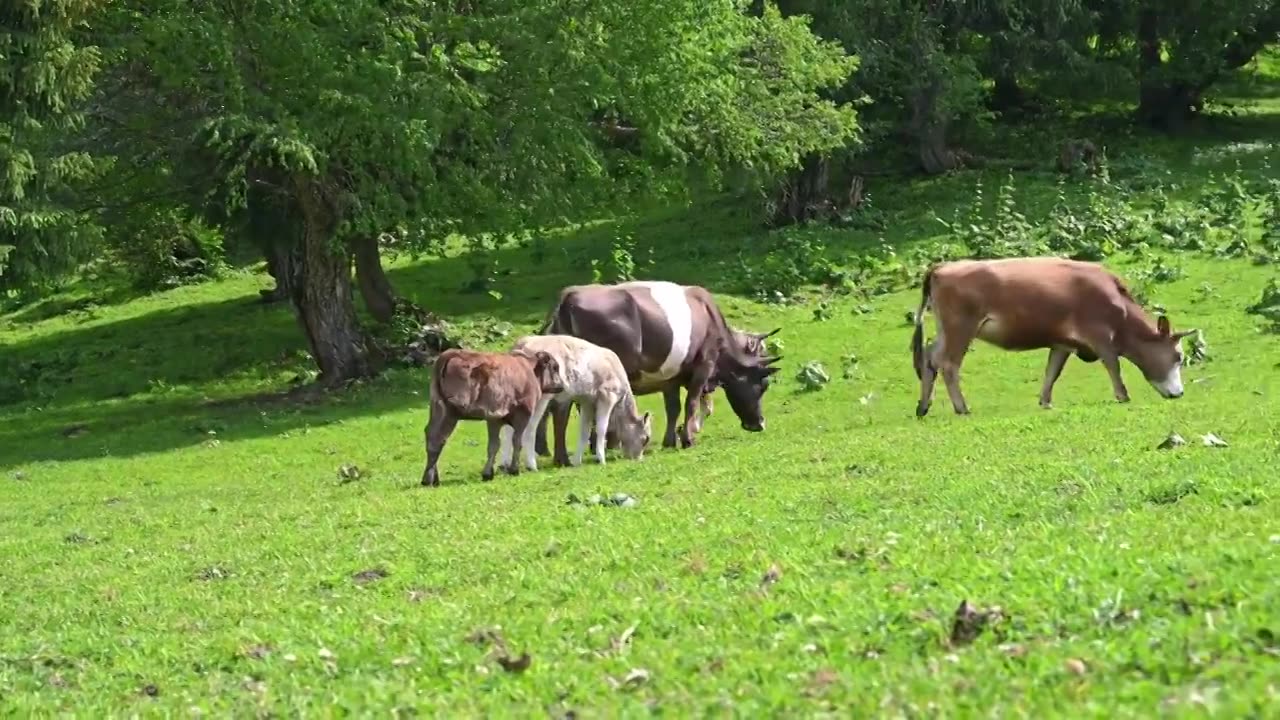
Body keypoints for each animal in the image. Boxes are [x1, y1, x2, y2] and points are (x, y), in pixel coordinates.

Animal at [422, 345, 563, 484]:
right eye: (555, 367)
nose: (561, 386)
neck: (530, 370)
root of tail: (451, 353)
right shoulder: (523, 415)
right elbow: (517, 441)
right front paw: (514, 470)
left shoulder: (494, 419)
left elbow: (494, 445)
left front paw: (488, 474)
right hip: (451, 412)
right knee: (438, 437)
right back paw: (429, 479)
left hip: (439, 409)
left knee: (433, 436)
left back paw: (432, 478)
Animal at [499, 333, 655, 468]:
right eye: (646, 438)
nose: (638, 458)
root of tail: (523, 343)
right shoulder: (607, 395)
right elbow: (601, 428)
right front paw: (601, 459)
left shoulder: (587, 401)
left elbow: (585, 430)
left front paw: (576, 462)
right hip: (540, 397)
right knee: (530, 427)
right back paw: (532, 465)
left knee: (509, 428)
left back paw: (505, 464)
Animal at [527, 280, 778, 466]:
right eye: (763, 384)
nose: (760, 424)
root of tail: (568, 295)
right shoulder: (703, 367)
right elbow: (691, 403)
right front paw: (687, 439)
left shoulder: (670, 377)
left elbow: (673, 407)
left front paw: (670, 440)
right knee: (562, 409)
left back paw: (560, 455)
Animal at [911, 256, 1198, 415]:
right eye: (1178, 357)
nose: (1180, 393)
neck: (1119, 306)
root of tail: (941, 267)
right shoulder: (1101, 337)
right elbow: (1113, 365)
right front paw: (1122, 395)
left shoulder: (1062, 343)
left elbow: (1052, 372)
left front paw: (1046, 402)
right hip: (961, 328)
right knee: (948, 364)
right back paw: (961, 407)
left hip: (947, 330)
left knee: (929, 356)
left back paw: (924, 405)